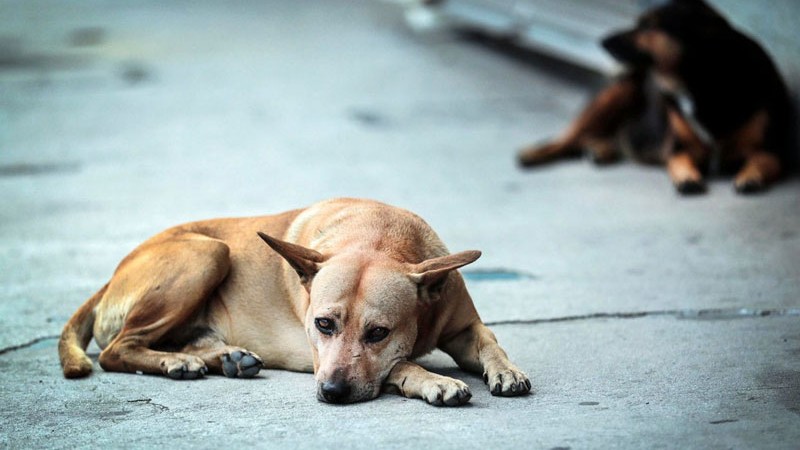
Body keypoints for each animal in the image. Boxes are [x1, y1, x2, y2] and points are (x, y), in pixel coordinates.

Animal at [57, 199, 532, 406]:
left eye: (378, 332)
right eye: (323, 324)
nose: (332, 392)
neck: (378, 237)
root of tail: (112, 275)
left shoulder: (463, 325)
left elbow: (490, 341)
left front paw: (506, 370)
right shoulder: (321, 355)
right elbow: (401, 364)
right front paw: (432, 379)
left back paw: (223, 358)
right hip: (208, 253)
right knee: (116, 350)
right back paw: (177, 362)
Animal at [516, 0, 792, 194]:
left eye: (649, 25)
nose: (602, 40)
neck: (701, 85)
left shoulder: (772, 150)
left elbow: (763, 160)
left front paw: (751, 175)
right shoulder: (678, 148)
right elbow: (679, 160)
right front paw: (688, 177)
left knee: (595, 138)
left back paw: (601, 149)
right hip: (617, 93)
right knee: (568, 137)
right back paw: (533, 153)